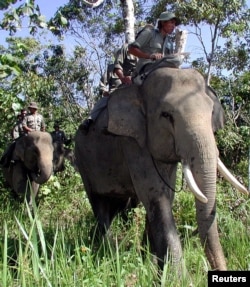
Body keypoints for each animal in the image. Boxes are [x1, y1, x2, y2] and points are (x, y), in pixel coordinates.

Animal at [74, 67, 248, 272]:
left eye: (211, 111)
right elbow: (156, 196)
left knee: (122, 204)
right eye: (166, 115)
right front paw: (176, 276)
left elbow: (165, 196)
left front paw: (151, 265)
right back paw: (107, 252)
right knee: (99, 203)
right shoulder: (132, 141)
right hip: (82, 162)